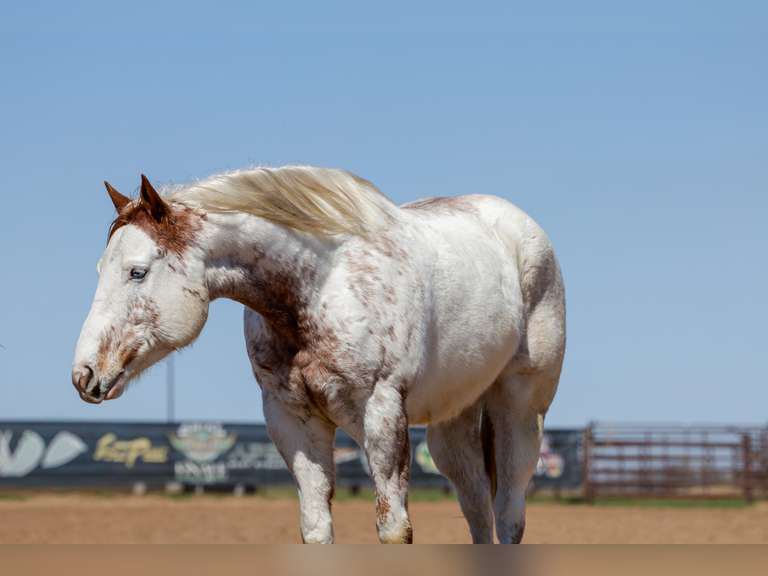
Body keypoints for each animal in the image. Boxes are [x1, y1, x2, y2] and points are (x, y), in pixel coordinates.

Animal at [72, 166, 565, 544]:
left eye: (137, 272)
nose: (84, 374)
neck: (321, 286)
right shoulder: (293, 419)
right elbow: (316, 527)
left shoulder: (383, 415)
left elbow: (394, 528)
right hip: (454, 423)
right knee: (477, 507)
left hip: (519, 412)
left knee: (509, 513)